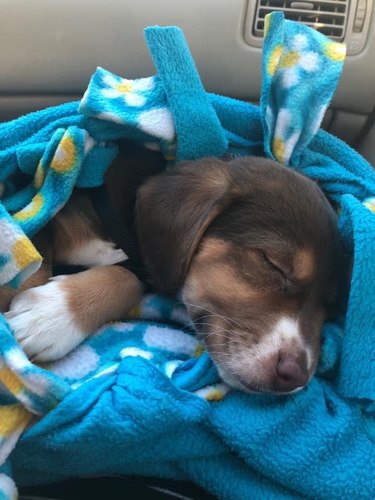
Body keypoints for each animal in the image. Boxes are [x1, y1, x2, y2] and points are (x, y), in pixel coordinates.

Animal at [0, 144, 342, 394]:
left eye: (329, 307)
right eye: (272, 264)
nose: (295, 376)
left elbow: (127, 279)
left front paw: (49, 316)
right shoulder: (46, 218)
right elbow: (33, 261)